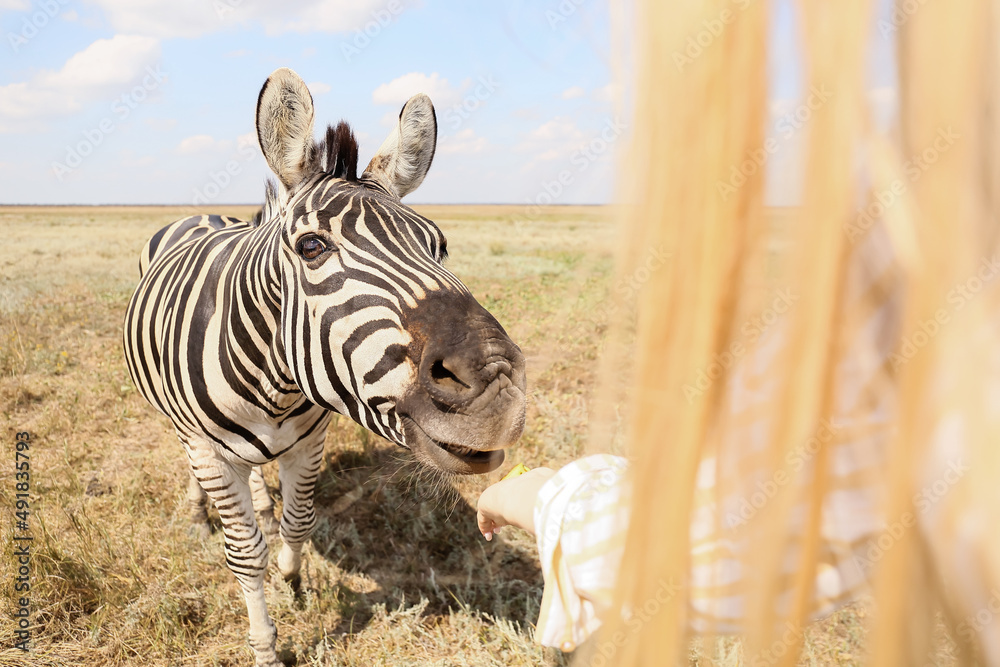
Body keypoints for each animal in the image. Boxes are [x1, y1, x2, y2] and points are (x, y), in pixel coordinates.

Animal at [123, 69, 524, 667]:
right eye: (311, 246)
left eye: (439, 245)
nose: (495, 386)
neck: (275, 386)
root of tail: (205, 214)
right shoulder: (211, 451)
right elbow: (245, 554)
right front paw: (266, 647)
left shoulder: (309, 440)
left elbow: (298, 522)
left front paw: (293, 582)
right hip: (185, 431)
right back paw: (198, 514)